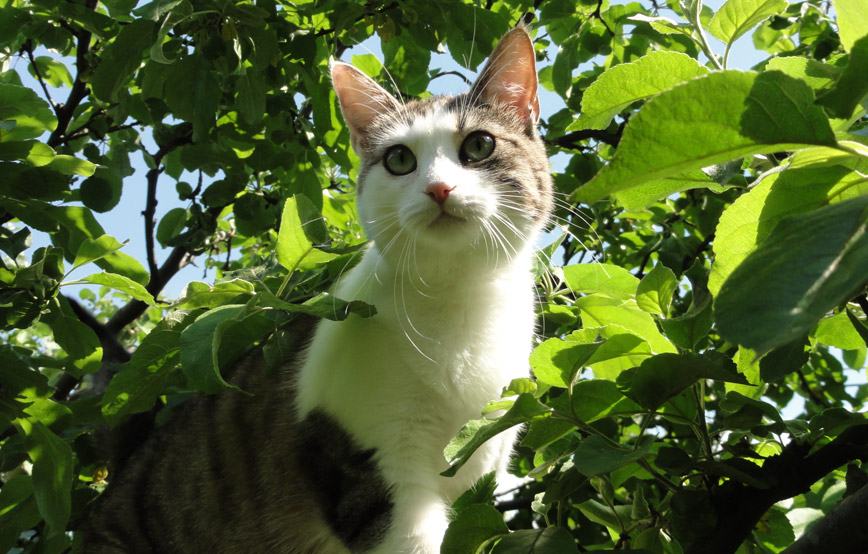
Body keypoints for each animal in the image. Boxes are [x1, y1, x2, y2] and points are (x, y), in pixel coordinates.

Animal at [83, 24, 556, 552]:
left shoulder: (484, 452)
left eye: (478, 146)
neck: (459, 302)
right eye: (399, 159)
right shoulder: (374, 462)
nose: (438, 189)